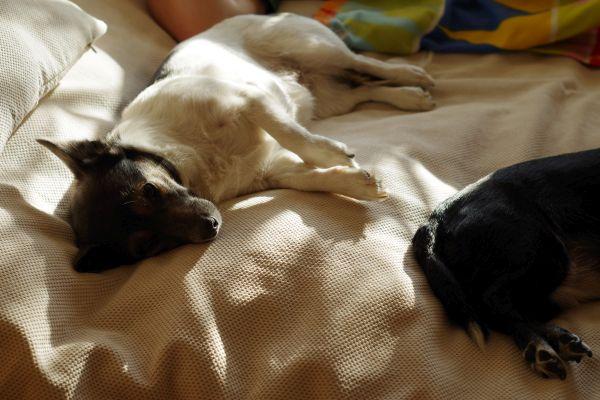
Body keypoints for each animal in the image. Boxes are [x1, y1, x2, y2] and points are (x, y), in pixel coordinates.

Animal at [38, 13, 435, 272]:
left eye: (150, 189)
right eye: (147, 245)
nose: (212, 225)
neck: (189, 164)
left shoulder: (250, 100)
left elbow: (294, 135)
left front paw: (333, 154)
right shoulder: (272, 171)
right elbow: (311, 179)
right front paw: (355, 183)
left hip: (314, 49)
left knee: (367, 64)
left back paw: (413, 75)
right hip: (330, 98)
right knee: (367, 89)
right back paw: (409, 98)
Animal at [412, 149, 600, 379]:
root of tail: (434, 218)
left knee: (517, 310)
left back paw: (557, 340)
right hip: (545, 251)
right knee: (493, 302)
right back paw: (539, 347)